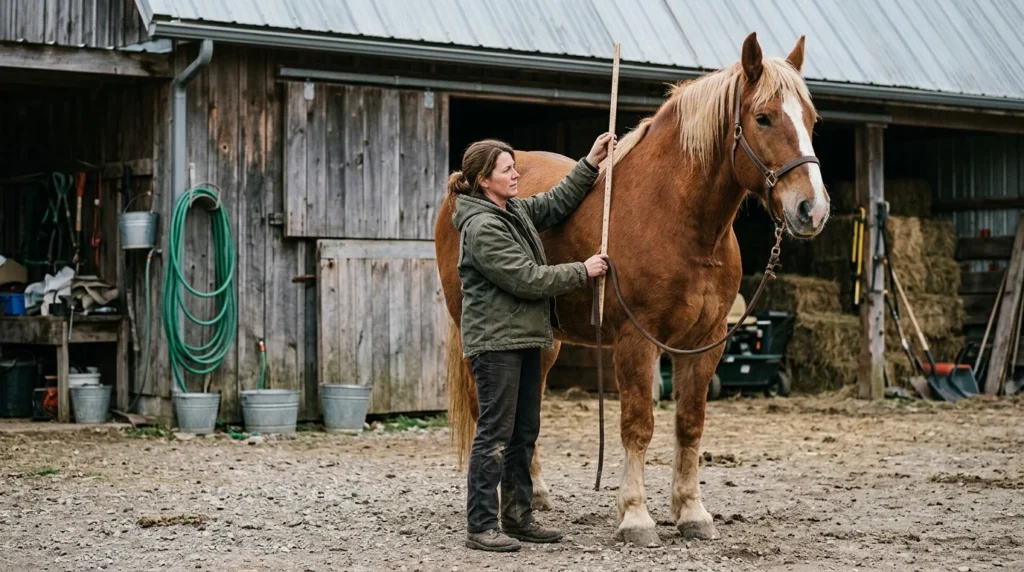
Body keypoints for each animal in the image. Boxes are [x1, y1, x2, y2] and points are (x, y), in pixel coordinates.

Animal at [434, 32, 830, 546]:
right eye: (763, 117)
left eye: (811, 119)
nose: (812, 210)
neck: (677, 217)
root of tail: (457, 191)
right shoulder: (637, 341)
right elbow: (638, 425)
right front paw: (636, 517)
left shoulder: (706, 344)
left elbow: (690, 424)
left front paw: (692, 512)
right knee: (489, 412)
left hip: (545, 343)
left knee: (529, 407)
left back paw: (533, 495)